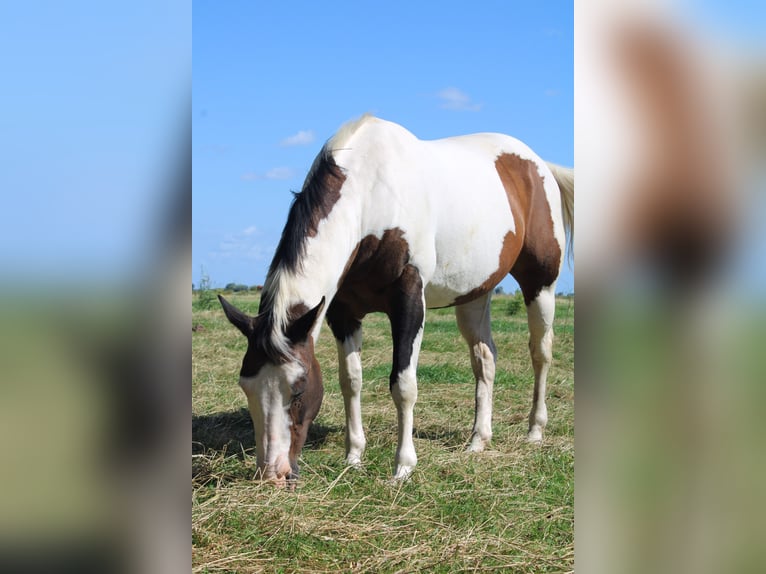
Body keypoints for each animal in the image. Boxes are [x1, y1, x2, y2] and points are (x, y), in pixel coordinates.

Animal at [219, 116, 572, 486]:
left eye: (298, 389)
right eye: (246, 387)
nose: (272, 473)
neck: (371, 194)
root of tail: (539, 165)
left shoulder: (408, 303)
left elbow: (403, 384)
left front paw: (403, 467)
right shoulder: (343, 312)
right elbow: (351, 381)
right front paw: (353, 456)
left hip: (540, 286)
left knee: (540, 353)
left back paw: (535, 430)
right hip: (474, 294)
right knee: (485, 359)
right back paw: (478, 440)